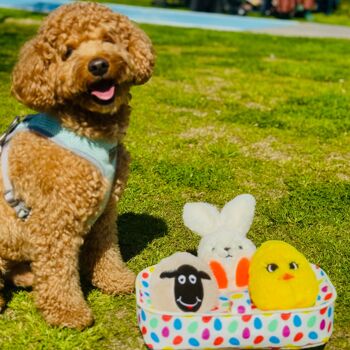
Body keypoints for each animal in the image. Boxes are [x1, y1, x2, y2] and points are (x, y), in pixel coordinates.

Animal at [0, 1, 154, 328]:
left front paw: (116, 280)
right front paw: (68, 312)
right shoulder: (54, 220)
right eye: (67, 52)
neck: (88, 133)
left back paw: (27, 277)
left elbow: (106, 250)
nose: (98, 65)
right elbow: (59, 271)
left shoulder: (106, 212)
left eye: (109, 39)